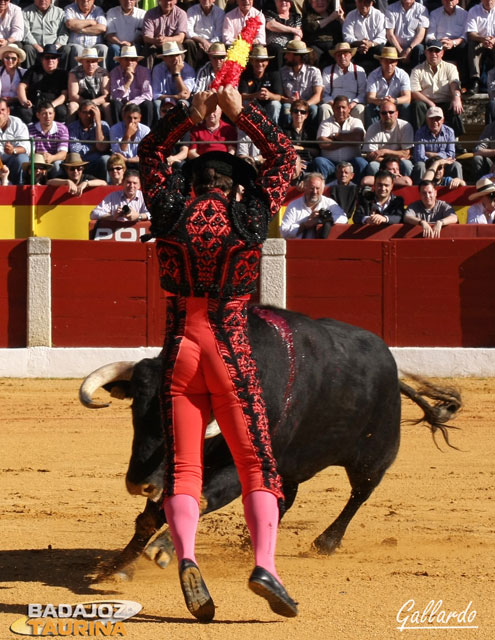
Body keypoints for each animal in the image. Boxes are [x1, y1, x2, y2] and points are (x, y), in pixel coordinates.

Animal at [79, 304, 464, 580]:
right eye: (136, 407)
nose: (139, 483)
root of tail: (396, 373)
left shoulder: (244, 465)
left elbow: (201, 498)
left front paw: (160, 550)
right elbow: (151, 515)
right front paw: (117, 567)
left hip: (374, 456)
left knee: (359, 494)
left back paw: (325, 543)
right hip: (290, 467)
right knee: (285, 501)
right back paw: (257, 542)